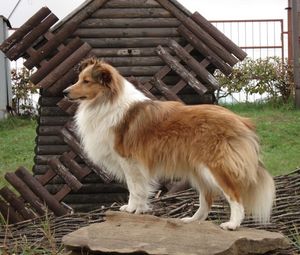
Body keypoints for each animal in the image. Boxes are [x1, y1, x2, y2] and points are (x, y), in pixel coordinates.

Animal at [63, 58, 274, 231]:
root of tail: (242, 121)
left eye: (86, 81)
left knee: (235, 196)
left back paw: (232, 224)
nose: (65, 92)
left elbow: (134, 188)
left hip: (215, 167)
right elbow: (140, 188)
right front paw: (140, 209)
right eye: (79, 78)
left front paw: (131, 208)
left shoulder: (129, 161)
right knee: (206, 199)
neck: (107, 101)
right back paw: (191, 220)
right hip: (199, 171)